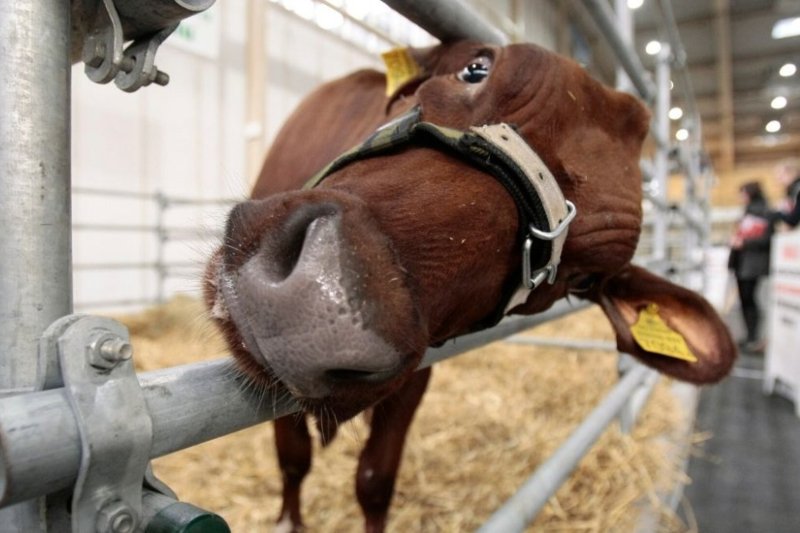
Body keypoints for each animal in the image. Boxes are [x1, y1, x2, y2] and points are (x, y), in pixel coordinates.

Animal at [206, 39, 736, 528]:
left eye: (581, 277)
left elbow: (375, 480)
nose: (323, 300)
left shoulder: (415, 374)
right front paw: (288, 520)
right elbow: (293, 460)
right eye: (476, 69)